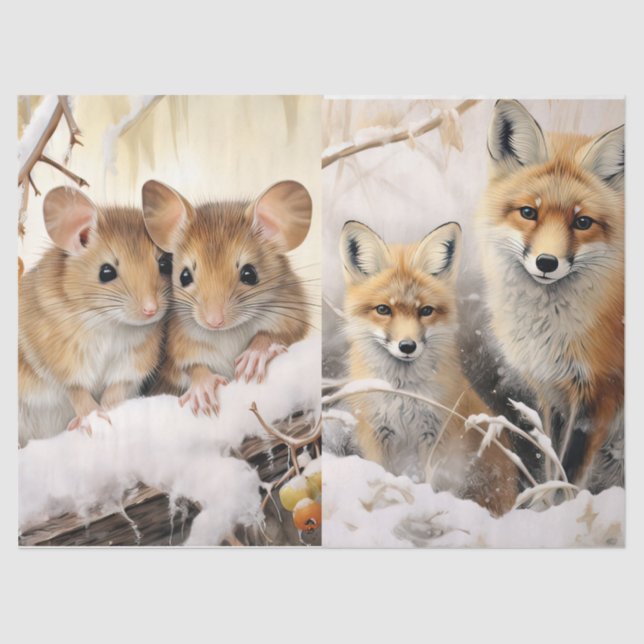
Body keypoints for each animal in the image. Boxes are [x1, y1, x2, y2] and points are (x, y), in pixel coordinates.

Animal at [339, 220, 517, 516]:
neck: (402, 394)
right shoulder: (377, 432)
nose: (407, 346)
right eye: (383, 309)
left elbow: (430, 484)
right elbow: (382, 475)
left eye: (425, 311)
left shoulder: (436, 434)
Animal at [476, 99, 624, 491]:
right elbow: (552, 468)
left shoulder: (600, 397)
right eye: (529, 212)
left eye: (582, 222)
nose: (546, 262)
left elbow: (568, 478)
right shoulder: (555, 392)